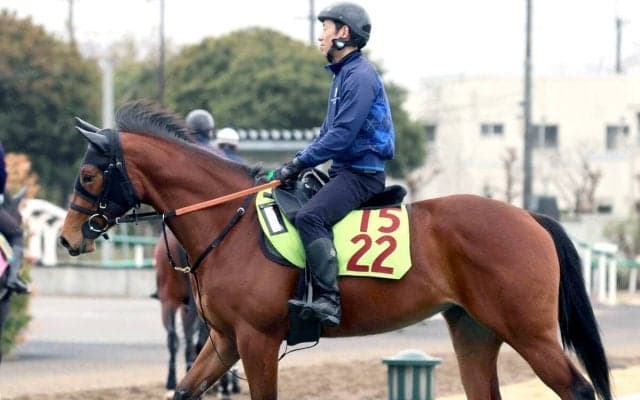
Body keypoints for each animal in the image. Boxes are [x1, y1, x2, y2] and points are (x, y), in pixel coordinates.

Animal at [60, 100, 612, 400]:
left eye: (87, 175)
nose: (67, 238)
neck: (229, 222)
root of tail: (529, 218)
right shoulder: (225, 341)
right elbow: (184, 388)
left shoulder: (257, 341)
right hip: (475, 330)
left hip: (528, 332)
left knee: (579, 388)